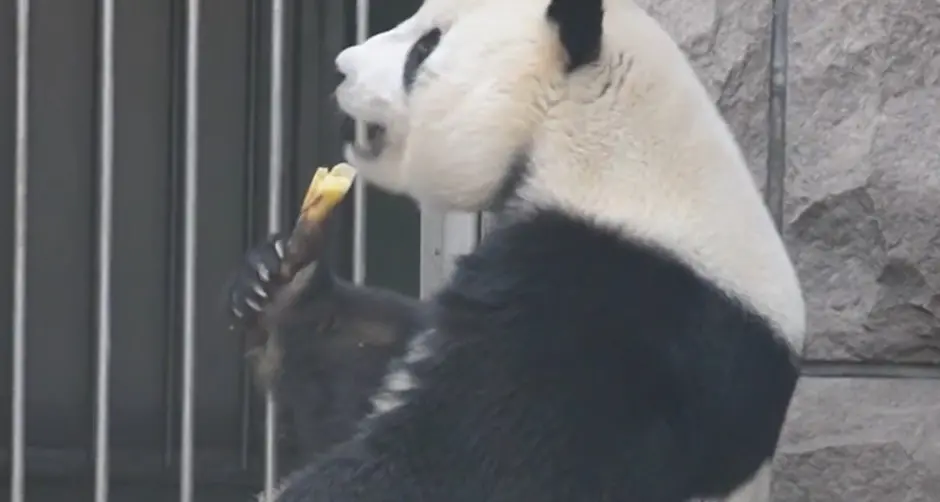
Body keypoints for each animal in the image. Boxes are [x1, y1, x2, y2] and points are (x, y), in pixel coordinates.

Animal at [226, 0, 806, 500]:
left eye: (425, 47)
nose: (342, 67)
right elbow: (364, 370)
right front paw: (283, 284)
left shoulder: (614, 310)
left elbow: (464, 453)